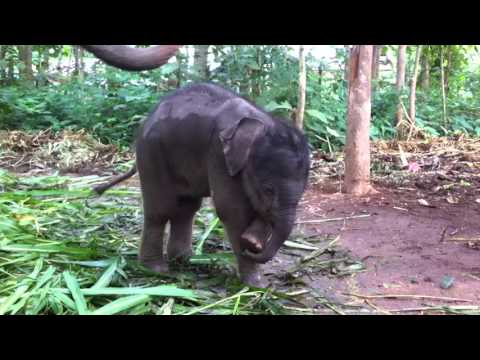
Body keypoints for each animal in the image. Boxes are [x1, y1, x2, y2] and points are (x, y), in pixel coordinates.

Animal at [96, 82, 312, 286]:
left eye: (303, 191)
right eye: (268, 190)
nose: (253, 249)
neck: (261, 121)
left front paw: (251, 241)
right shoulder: (218, 153)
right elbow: (233, 211)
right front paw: (258, 285)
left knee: (186, 208)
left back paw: (185, 260)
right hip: (152, 153)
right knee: (160, 210)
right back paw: (156, 269)